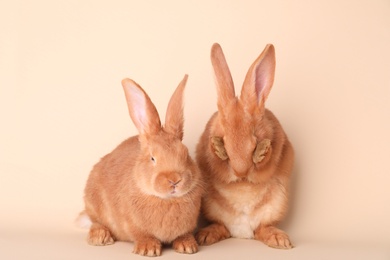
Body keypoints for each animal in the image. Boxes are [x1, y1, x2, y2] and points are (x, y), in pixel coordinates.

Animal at [77, 74, 203, 256]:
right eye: (152, 158)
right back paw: (100, 237)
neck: (165, 199)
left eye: (185, 154)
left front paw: (187, 246)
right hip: (93, 202)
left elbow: (184, 234)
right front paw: (148, 249)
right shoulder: (132, 224)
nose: (174, 180)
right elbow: (141, 234)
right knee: (96, 222)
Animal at [197, 43, 294, 249]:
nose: (241, 173)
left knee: (262, 229)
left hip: (276, 206)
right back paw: (206, 236)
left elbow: (266, 163)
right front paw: (216, 148)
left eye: (254, 142)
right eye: (225, 142)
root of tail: (241, 233)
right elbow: (214, 158)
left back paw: (279, 240)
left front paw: (263, 152)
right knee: (222, 226)